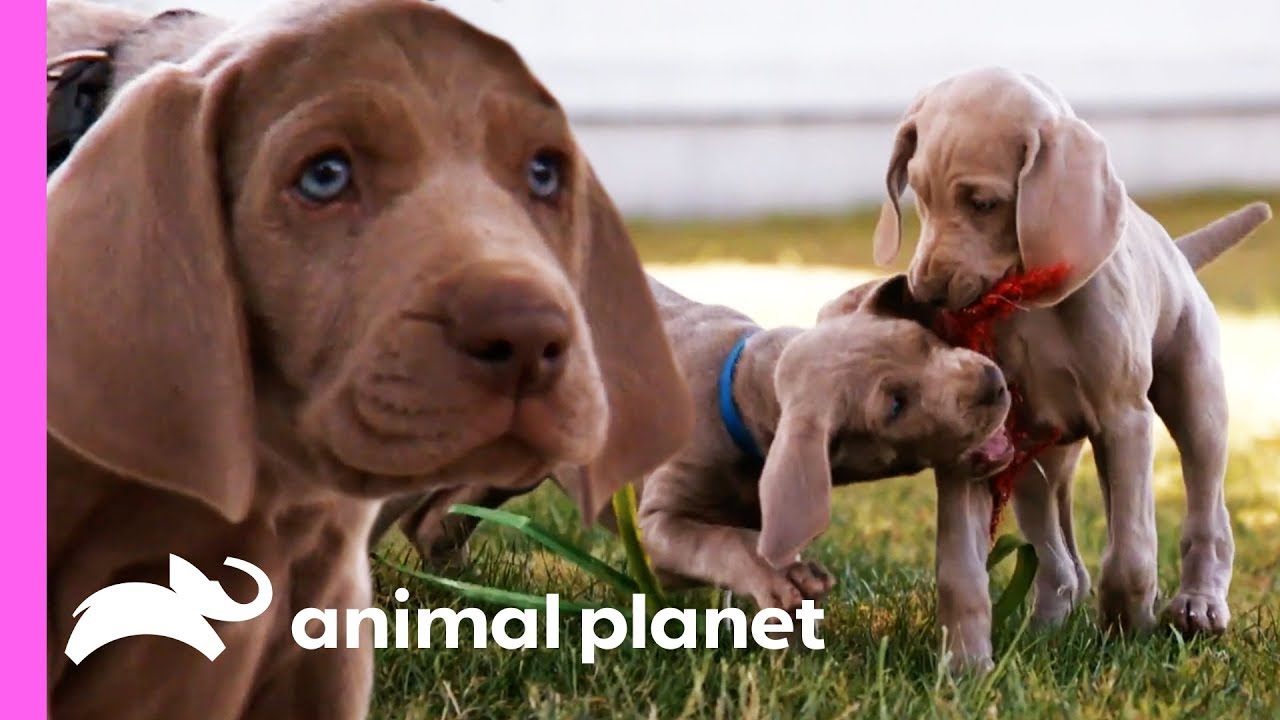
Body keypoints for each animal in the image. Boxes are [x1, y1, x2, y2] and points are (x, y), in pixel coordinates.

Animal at [870, 65, 1269, 666]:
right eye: (918, 195)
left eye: (983, 203)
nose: (926, 295)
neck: (1027, 305)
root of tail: (1174, 250)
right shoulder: (977, 435)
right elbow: (959, 568)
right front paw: (964, 665)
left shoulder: (1124, 420)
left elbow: (1131, 553)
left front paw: (1127, 632)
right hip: (1041, 456)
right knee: (1059, 555)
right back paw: (1047, 624)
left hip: (1196, 395)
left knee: (1207, 507)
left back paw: (1197, 604)